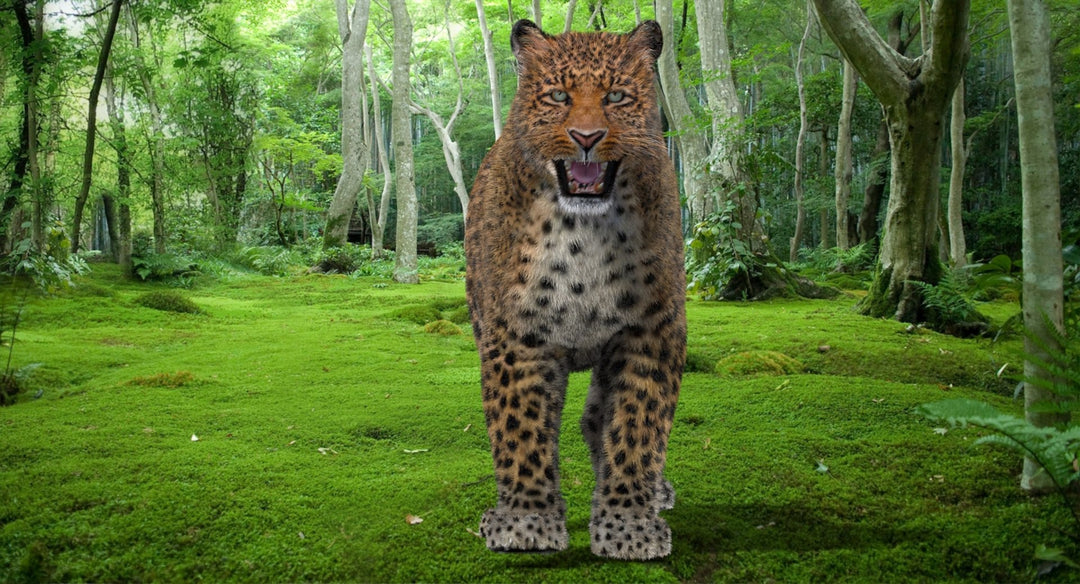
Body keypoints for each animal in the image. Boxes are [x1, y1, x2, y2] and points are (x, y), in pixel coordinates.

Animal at [464, 19, 686, 561]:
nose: (587, 137)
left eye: (618, 96)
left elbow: (637, 426)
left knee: (595, 418)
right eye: (558, 95)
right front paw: (526, 521)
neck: (583, 231)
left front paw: (628, 525)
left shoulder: (651, 331)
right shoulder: (518, 335)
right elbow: (521, 428)